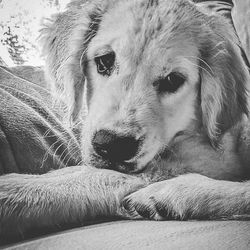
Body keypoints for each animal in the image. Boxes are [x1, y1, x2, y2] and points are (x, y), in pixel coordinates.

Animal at [0, 0, 250, 242]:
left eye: (173, 80)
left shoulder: (206, 160)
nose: (112, 145)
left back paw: (172, 194)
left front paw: (14, 191)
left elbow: (102, 175)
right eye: (104, 61)